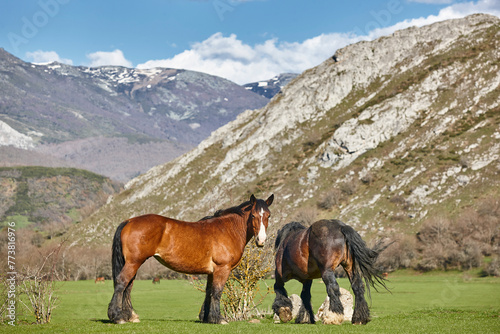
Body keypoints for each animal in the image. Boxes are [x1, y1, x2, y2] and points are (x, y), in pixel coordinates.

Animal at [107, 193, 276, 324]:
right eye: (253, 215)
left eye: (268, 215)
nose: (261, 240)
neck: (228, 229)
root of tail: (129, 221)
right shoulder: (222, 269)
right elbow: (217, 291)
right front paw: (218, 318)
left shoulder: (212, 271)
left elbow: (209, 291)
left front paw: (206, 317)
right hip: (133, 262)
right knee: (122, 283)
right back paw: (117, 317)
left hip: (133, 263)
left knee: (128, 287)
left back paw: (130, 316)